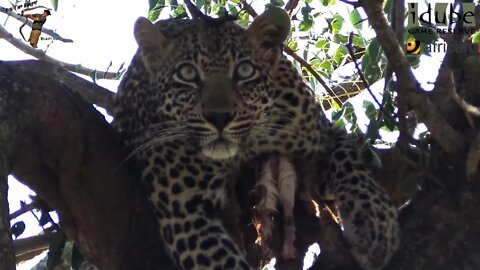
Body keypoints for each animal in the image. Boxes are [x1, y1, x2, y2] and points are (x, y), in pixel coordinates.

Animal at [114, 6, 400, 270]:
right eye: (187, 74)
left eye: (244, 71)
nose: (220, 117)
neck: (247, 145)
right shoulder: (184, 211)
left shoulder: (322, 132)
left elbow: (348, 160)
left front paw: (374, 226)